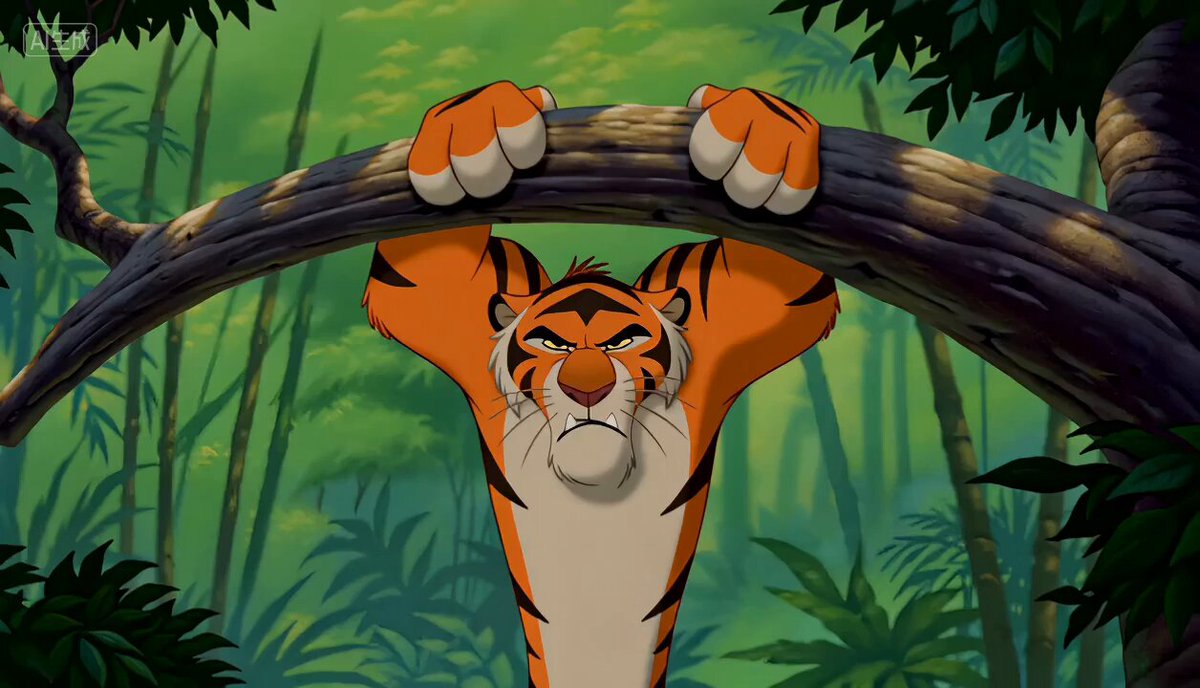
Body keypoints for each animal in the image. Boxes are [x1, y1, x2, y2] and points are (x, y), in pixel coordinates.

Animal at [362, 81, 838, 688]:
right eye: (553, 345)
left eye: (621, 342)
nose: (585, 384)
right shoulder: (449, 308)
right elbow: (427, 266)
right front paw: (480, 125)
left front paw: (752, 129)